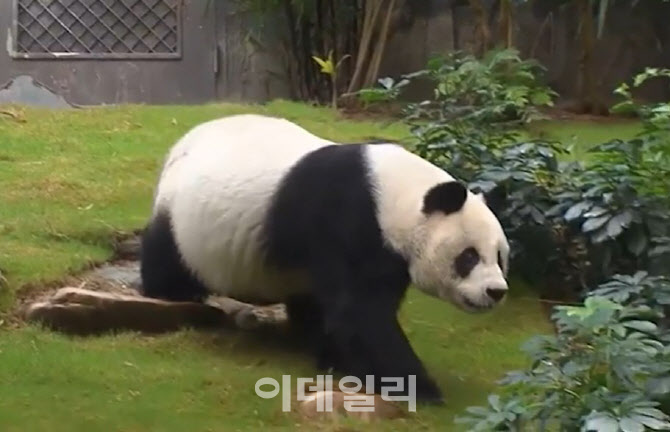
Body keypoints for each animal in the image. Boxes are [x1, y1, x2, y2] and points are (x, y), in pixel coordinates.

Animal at [139, 113, 512, 404]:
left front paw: (334, 360)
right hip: (182, 218)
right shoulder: (348, 218)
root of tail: (179, 146)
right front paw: (421, 388)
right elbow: (360, 313)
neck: (396, 193)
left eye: (500, 257)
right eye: (469, 256)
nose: (496, 292)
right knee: (167, 254)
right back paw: (173, 290)